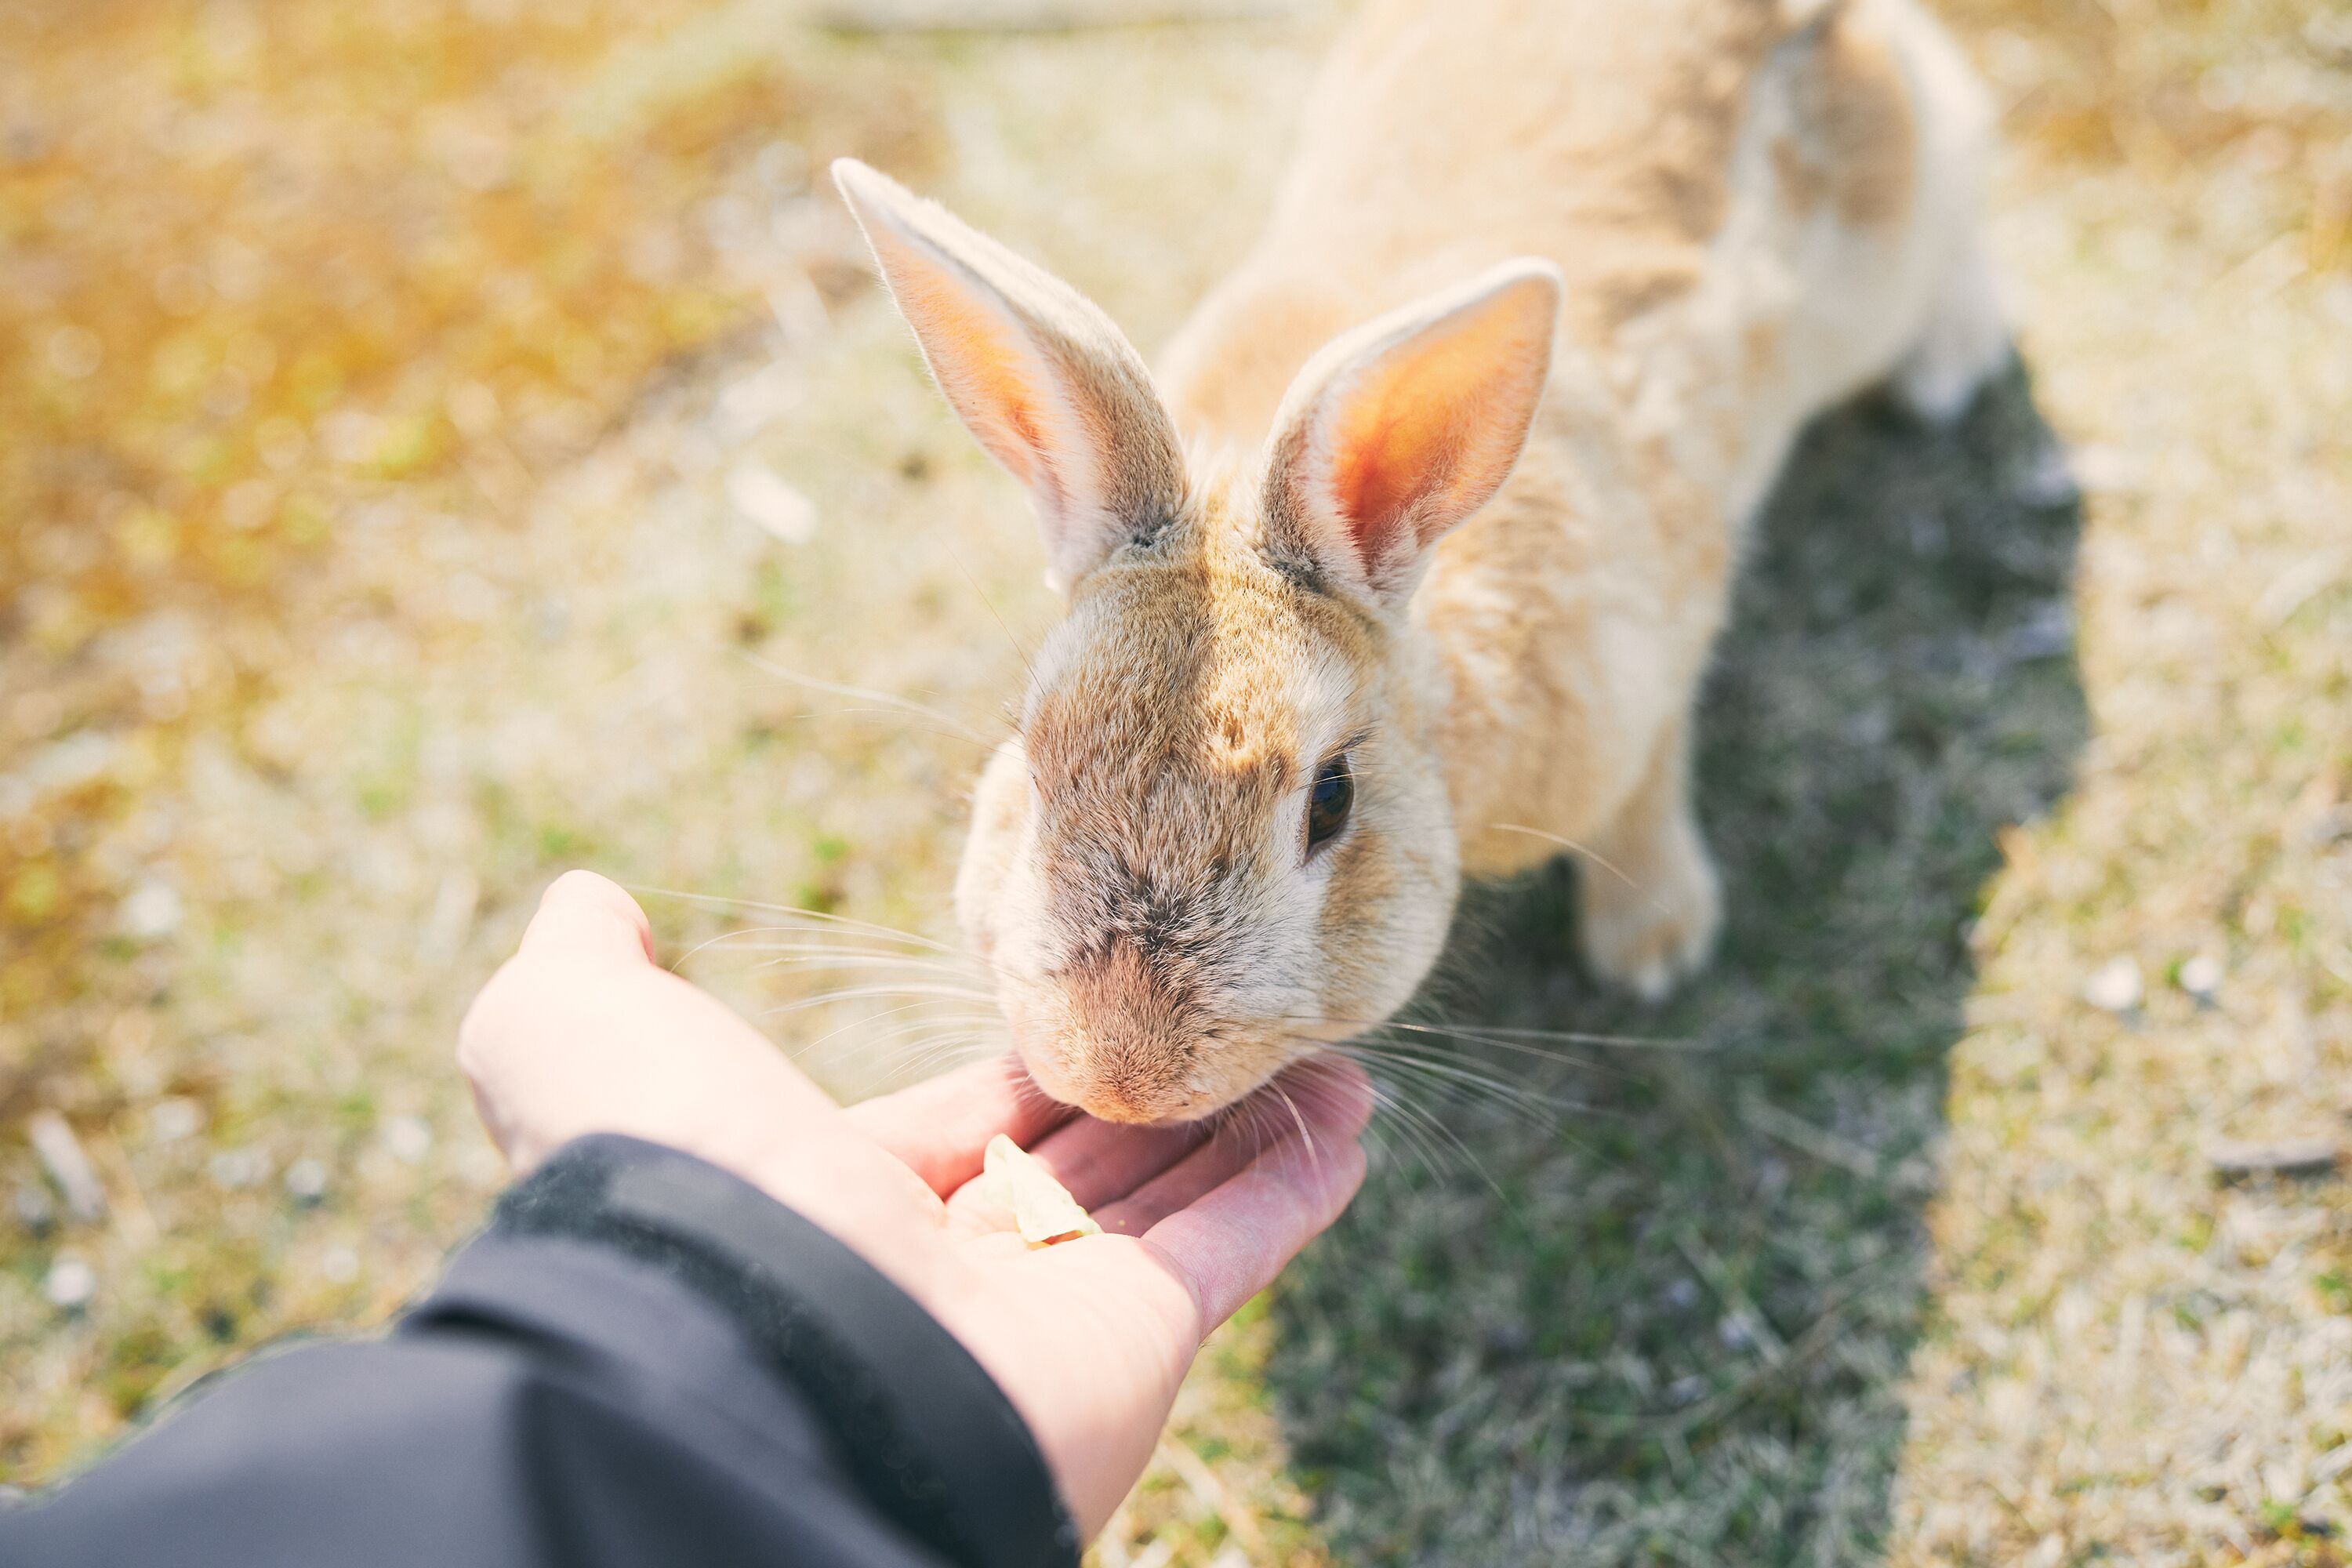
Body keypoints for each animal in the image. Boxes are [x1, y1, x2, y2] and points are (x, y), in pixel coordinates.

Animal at [831, 0, 2010, 1124]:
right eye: (1028, 758)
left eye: (1332, 800)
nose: (1124, 1080)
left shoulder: (1658, 654)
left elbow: (1651, 781)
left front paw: (1654, 945)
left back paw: (1946, 365)